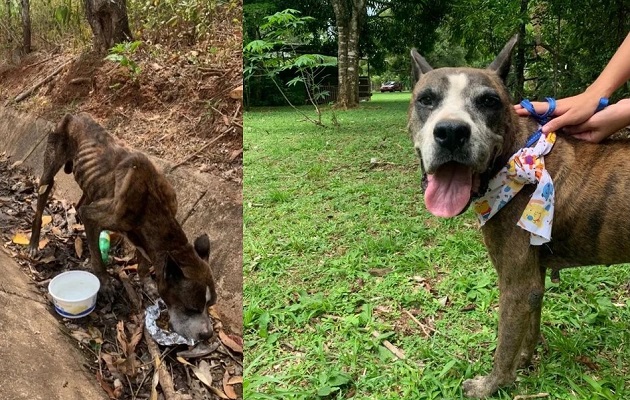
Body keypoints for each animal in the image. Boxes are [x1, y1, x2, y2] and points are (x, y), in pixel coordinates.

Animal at [28, 113, 217, 340]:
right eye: (191, 309)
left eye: (210, 305)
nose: (208, 334)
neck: (154, 208)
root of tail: (74, 115)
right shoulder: (96, 216)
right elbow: (99, 260)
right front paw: (105, 282)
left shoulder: (145, 239)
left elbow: (143, 260)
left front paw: (147, 283)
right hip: (50, 169)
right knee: (42, 203)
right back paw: (34, 243)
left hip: (93, 185)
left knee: (80, 205)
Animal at [410, 35, 630, 396]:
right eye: (425, 100)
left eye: (489, 101)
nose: (452, 132)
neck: (515, 158)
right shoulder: (534, 276)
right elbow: (530, 327)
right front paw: (526, 361)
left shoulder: (515, 285)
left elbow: (504, 344)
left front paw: (491, 385)